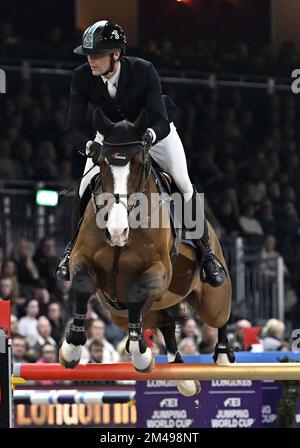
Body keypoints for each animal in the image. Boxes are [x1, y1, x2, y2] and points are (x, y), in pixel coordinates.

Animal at [59, 107, 234, 396]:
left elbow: (136, 292)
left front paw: (140, 354)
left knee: (221, 317)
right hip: (122, 315)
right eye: (102, 164)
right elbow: (83, 286)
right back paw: (182, 375)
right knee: (164, 323)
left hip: (212, 300)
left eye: (141, 164)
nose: (117, 231)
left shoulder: (158, 271)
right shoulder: (81, 260)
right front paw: (71, 349)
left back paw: (222, 357)